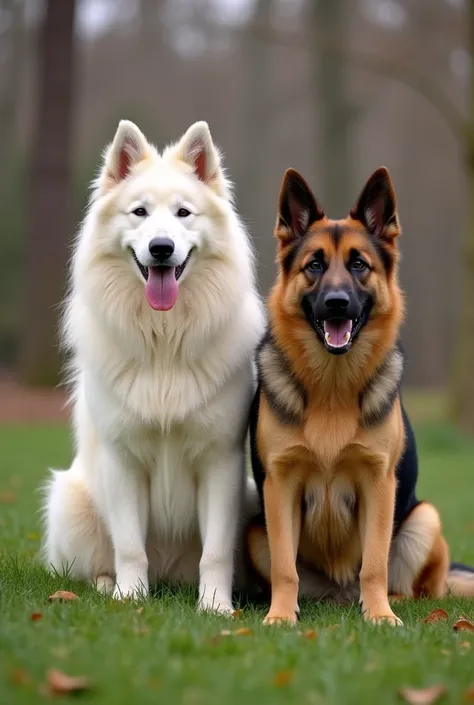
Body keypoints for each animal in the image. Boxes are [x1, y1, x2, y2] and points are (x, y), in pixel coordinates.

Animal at [44, 119, 264, 612]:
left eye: (184, 213)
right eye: (139, 213)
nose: (161, 248)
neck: (164, 343)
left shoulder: (220, 462)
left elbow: (215, 551)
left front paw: (215, 606)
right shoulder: (123, 461)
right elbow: (129, 546)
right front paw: (131, 598)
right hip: (70, 501)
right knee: (96, 565)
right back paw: (109, 587)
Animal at [246, 166, 474, 628]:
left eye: (358, 265)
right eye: (314, 265)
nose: (337, 303)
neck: (333, 386)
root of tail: (339, 592)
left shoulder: (378, 484)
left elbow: (374, 562)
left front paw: (381, 616)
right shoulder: (281, 485)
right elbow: (284, 566)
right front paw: (280, 616)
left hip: (424, 518)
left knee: (416, 586)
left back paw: (392, 602)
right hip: (255, 530)